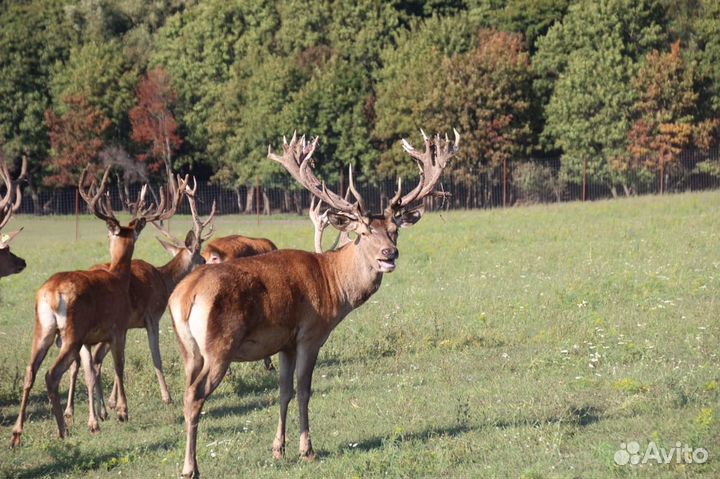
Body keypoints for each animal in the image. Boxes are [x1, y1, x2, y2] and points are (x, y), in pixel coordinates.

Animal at [63, 181, 215, 428]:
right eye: (202, 259)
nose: (209, 265)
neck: (164, 280)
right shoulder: (152, 316)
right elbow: (156, 356)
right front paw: (166, 397)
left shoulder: (125, 325)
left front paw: (112, 403)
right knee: (90, 362)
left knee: (83, 362)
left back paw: (74, 411)